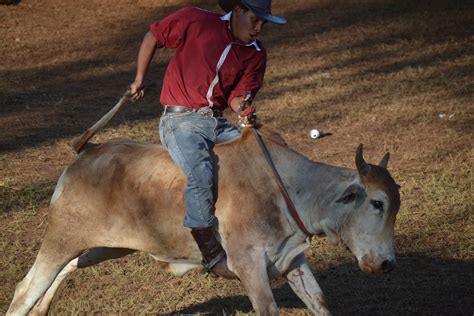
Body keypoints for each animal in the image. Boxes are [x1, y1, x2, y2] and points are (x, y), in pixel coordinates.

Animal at [6, 127, 400, 314]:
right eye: (377, 203)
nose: (386, 263)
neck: (285, 188)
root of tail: (87, 152)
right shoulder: (249, 266)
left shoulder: (292, 259)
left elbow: (319, 302)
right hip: (62, 237)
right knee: (26, 288)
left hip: (106, 247)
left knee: (69, 267)